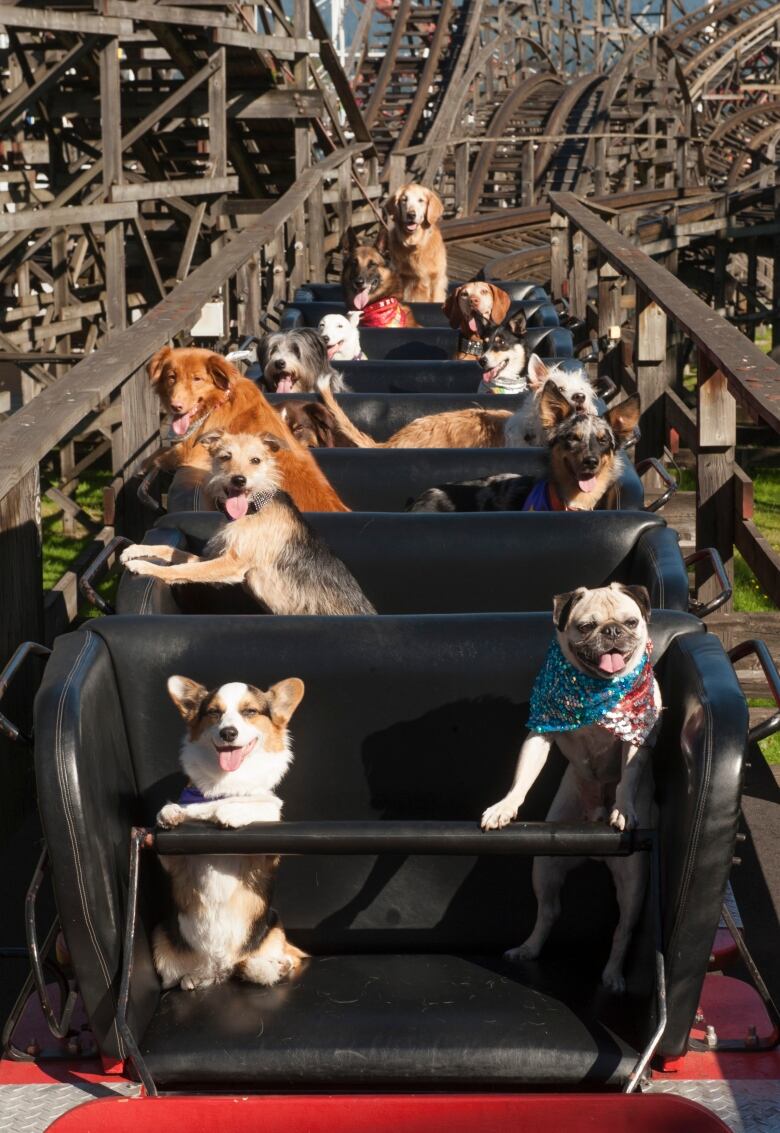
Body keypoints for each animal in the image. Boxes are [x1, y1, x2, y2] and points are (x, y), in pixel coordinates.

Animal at [121, 428, 374, 616]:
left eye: (255, 460)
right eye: (225, 457)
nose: (239, 480)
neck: (254, 510)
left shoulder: (231, 565)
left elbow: (182, 569)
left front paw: (145, 567)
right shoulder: (220, 560)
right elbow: (173, 552)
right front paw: (137, 550)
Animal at [151, 675, 308, 987]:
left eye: (250, 712)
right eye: (214, 712)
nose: (228, 733)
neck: (225, 787)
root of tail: (221, 965)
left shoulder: (267, 851)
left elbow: (259, 807)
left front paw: (232, 812)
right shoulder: (174, 862)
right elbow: (173, 813)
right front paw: (171, 812)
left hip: (273, 926)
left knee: (272, 962)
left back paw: (273, 967)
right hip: (161, 939)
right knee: (190, 979)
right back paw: (195, 978)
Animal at [480, 584, 657, 992]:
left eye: (630, 622)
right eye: (587, 626)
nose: (612, 631)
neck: (595, 687)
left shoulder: (635, 736)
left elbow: (627, 776)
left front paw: (623, 808)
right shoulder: (541, 731)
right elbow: (523, 777)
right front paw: (504, 807)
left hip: (634, 882)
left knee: (623, 930)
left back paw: (613, 975)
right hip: (545, 865)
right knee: (550, 911)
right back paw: (528, 949)